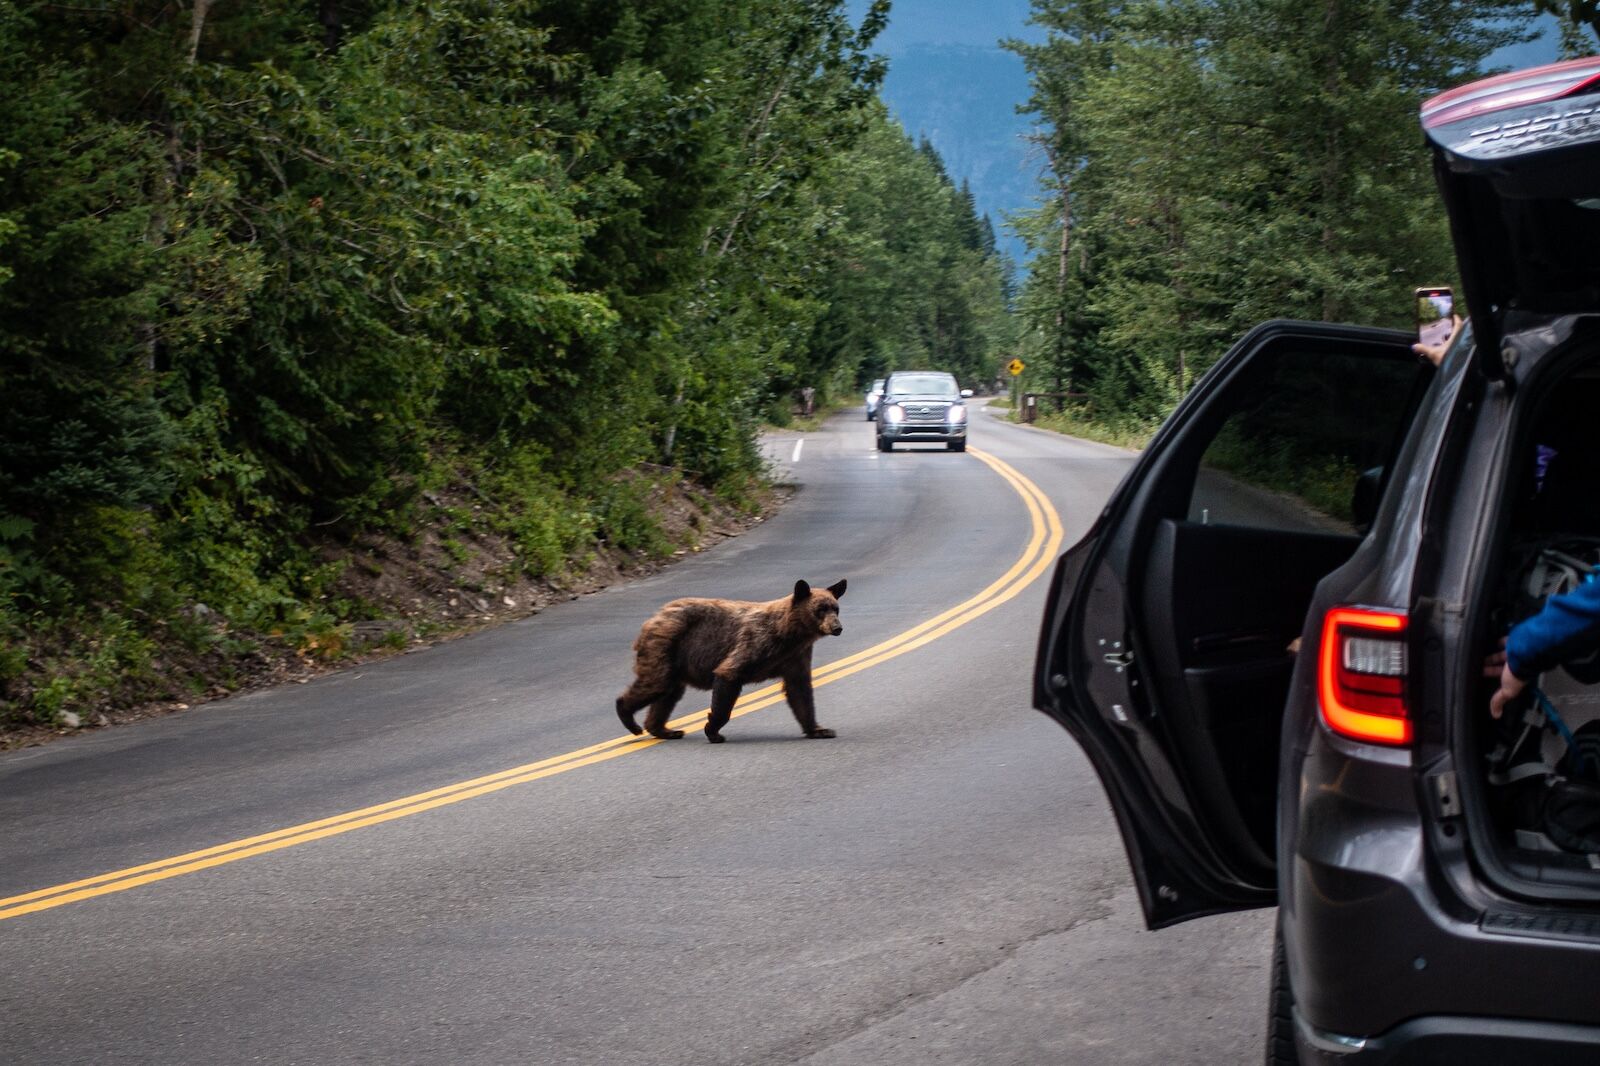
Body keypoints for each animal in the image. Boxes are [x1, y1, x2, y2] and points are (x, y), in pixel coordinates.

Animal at [616, 578, 848, 743]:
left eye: (835, 608)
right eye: (820, 609)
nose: (837, 627)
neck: (790, 633)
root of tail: (653, 617)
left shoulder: (795, 655)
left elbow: (800, 690)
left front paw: (820, 729)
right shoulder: (757, 642)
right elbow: (729, 674)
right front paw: (713, 731)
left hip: (675, 661)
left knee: (669, 693)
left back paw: (665, 730)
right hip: (666, 646)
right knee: (656, 683)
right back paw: (629, 718)